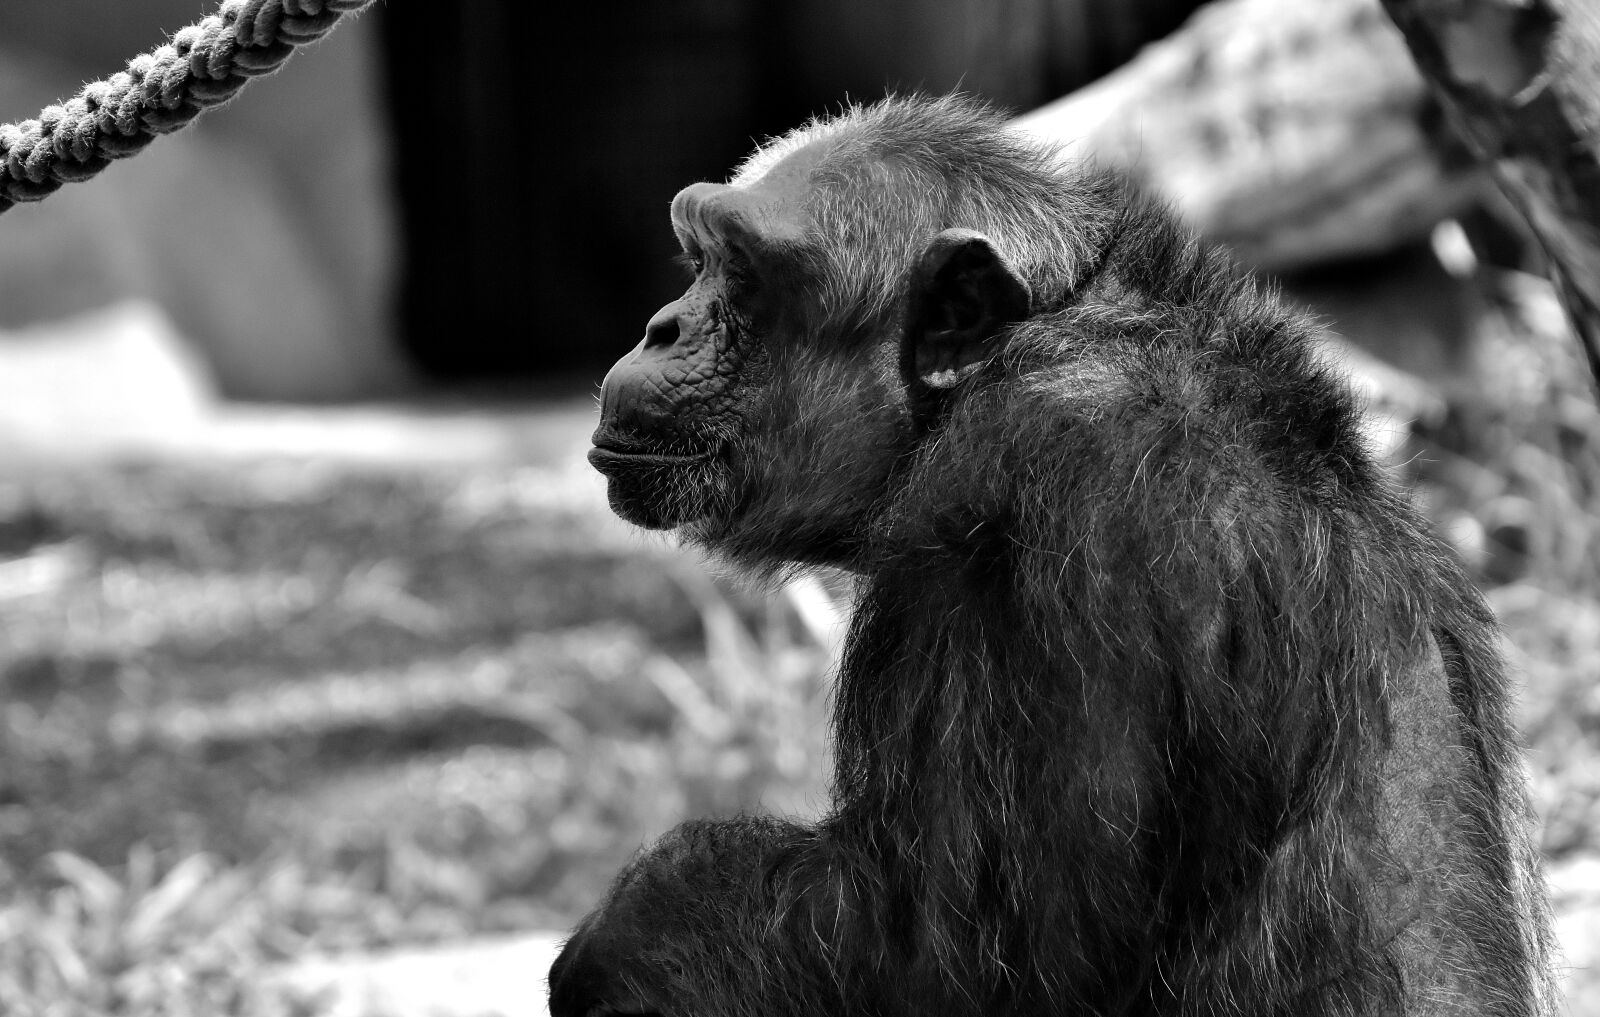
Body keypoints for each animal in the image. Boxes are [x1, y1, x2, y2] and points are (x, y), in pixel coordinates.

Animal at [550, 95, 1554, 1017]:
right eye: (701, 260)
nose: (664, 325)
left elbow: (933, 954)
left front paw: (628, 926)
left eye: (745, 272)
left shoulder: (1022, 501)